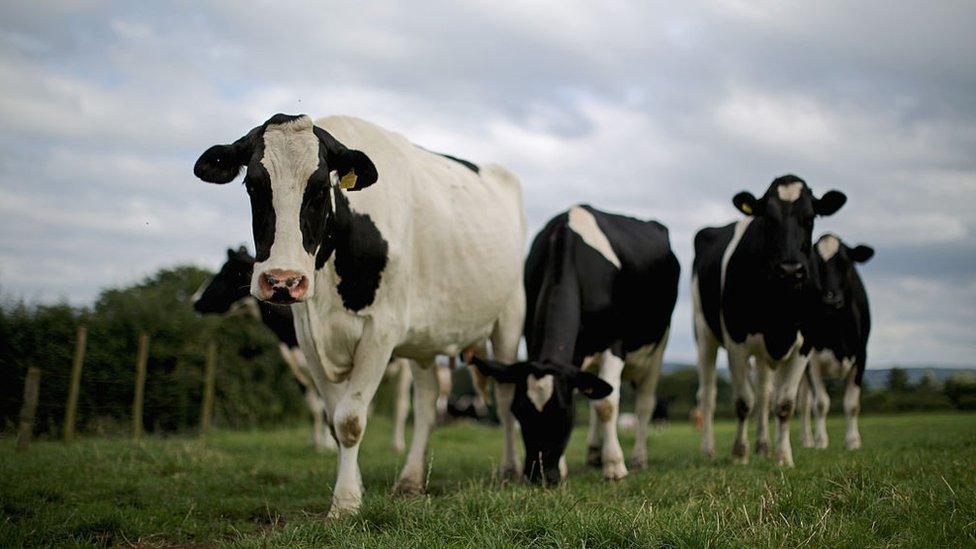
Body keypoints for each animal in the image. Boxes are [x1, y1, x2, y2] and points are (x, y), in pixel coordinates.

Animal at [192, 246, 340, 452]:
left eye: (225, 272)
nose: (195, 300)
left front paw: (328, 445)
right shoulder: (298, 370)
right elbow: (315, 408)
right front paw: (317, 443)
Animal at [472, 204, 680, 484]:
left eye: (563, 412)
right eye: (519, 411)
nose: (538, 475)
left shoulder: (615, 344)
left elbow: (607, 404)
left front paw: (614, 466)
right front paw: (565, 467)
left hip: (658, 348)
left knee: (644, 404)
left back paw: (638, 459)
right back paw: (593, 453)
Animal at [692, 173, 848, 464]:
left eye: (810, 218)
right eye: (768, 219)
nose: (790, 269)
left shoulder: (805, 344)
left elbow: (784, 404)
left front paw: (783, 457)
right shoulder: (736, 340)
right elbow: (743, 401)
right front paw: (739, 454)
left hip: (763, 355)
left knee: (764, 393)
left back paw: (763, 445)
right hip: (704, 334)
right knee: (708, 395)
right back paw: (707, 449)